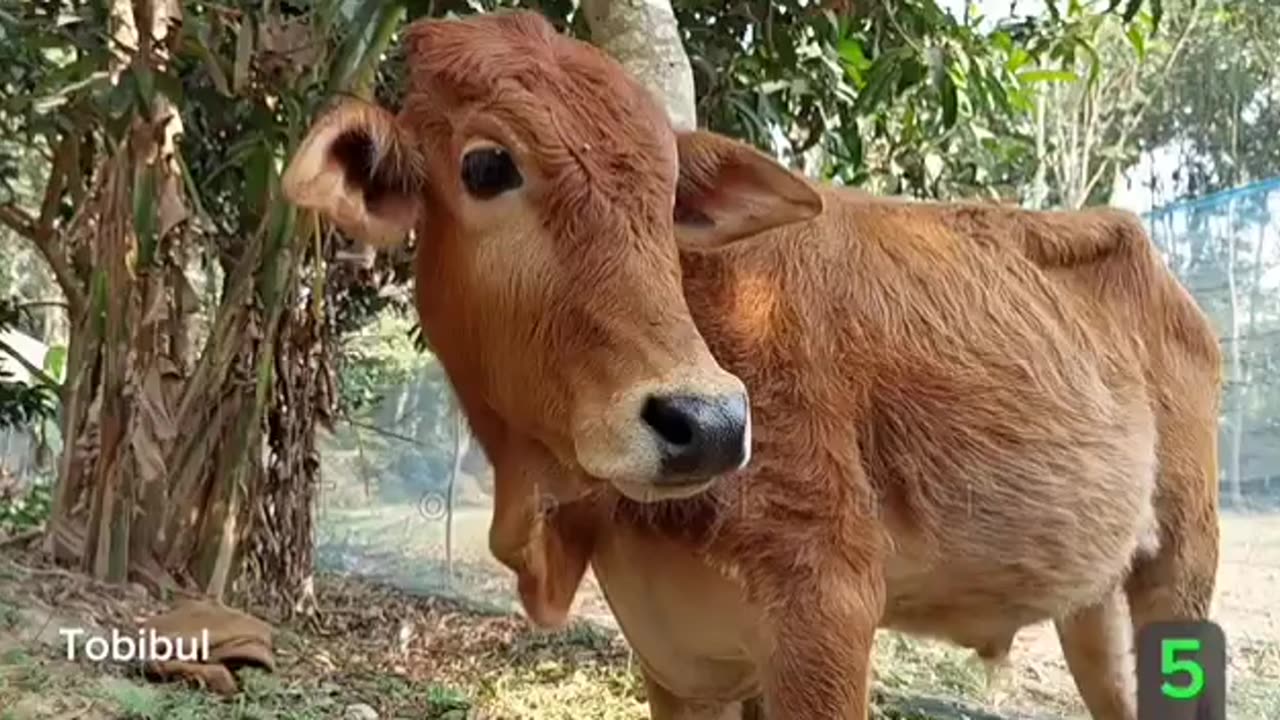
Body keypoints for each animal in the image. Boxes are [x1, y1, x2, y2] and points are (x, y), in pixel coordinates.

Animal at [280, 11, 1218, 717]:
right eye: (484, 165)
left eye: (666, 194)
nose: (708, 426)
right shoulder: (677, 663)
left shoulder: (828, 618)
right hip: (1094, 608)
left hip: (1180, 571)